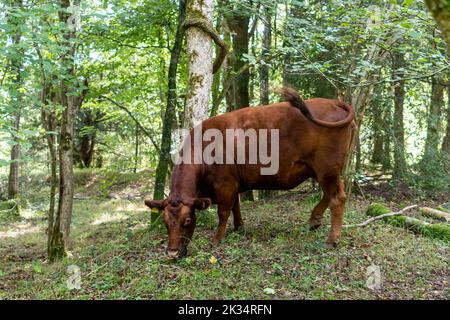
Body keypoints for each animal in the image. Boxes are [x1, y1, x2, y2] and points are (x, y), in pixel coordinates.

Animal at [147, 88, 356, 260]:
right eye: (165, 222)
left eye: (188, 220)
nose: (173, 252)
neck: (203, 148)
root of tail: (333, 102)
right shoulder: (233, 184)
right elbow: (236, 207)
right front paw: (238, 227)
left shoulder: (225, 184)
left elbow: (223, 212)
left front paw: (216, 239)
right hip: (324, 170)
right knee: (329, 195)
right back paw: (314, 220)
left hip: (326, 169)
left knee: (337, 198)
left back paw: (331, 240)